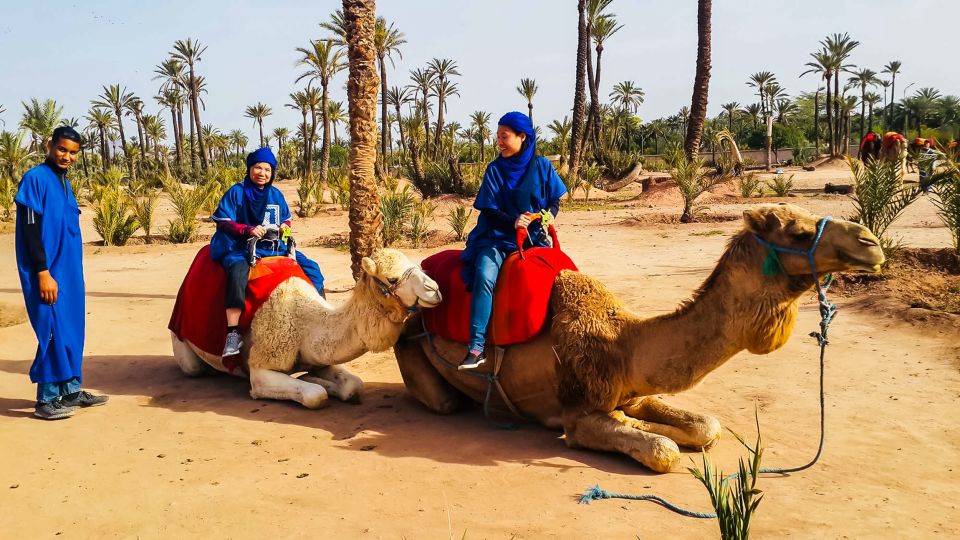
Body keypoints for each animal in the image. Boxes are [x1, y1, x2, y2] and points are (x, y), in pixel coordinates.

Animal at [172, 251, 442, 408]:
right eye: (392, 279)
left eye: (417, 265)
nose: (435, 289)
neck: (304, 324)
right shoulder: (261, 367)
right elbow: (315, 395)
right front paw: (313, 384)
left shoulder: (318, 355)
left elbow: (353, 386)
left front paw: (313, 378)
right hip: (182, 340)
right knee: (194, 367)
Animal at [392, 205, 884, 470]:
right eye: (798, 232)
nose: (871, 242)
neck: (624, 344)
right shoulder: (580, 411)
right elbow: (663, 450)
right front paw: (645, 435)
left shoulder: (637, 391)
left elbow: (706, 426)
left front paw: (665, 428)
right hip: (412, 354)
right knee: (445, 401)